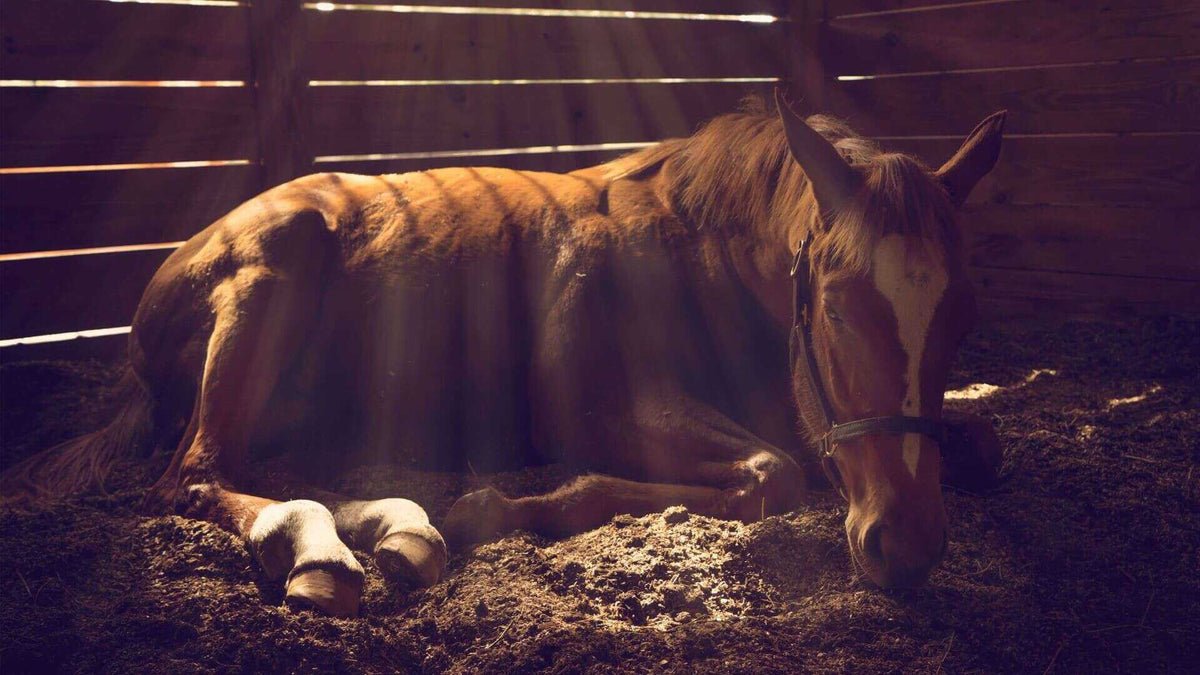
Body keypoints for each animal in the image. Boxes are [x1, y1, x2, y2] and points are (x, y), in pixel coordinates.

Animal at [1, 91, 1006, 616]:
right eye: (836, 304)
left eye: (963, 312)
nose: (907, 547)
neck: (694, 247)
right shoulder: (597, 405)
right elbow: (775, 473)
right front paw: (507, 505)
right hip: (270, 274)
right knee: (200, 475)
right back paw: (331, 556)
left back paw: (397, 531)